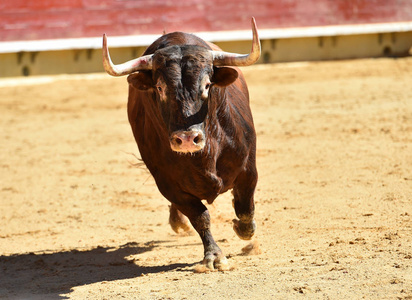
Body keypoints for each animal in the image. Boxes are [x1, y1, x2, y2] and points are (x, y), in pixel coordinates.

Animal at [101, 17, 260, 270]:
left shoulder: (248, 169)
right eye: (159, 88)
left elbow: (245, 208)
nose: (186, 139)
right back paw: (178, 222)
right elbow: (200, 217)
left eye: (207, 85)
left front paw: (243, 229)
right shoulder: (168, 184)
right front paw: (214, 255)